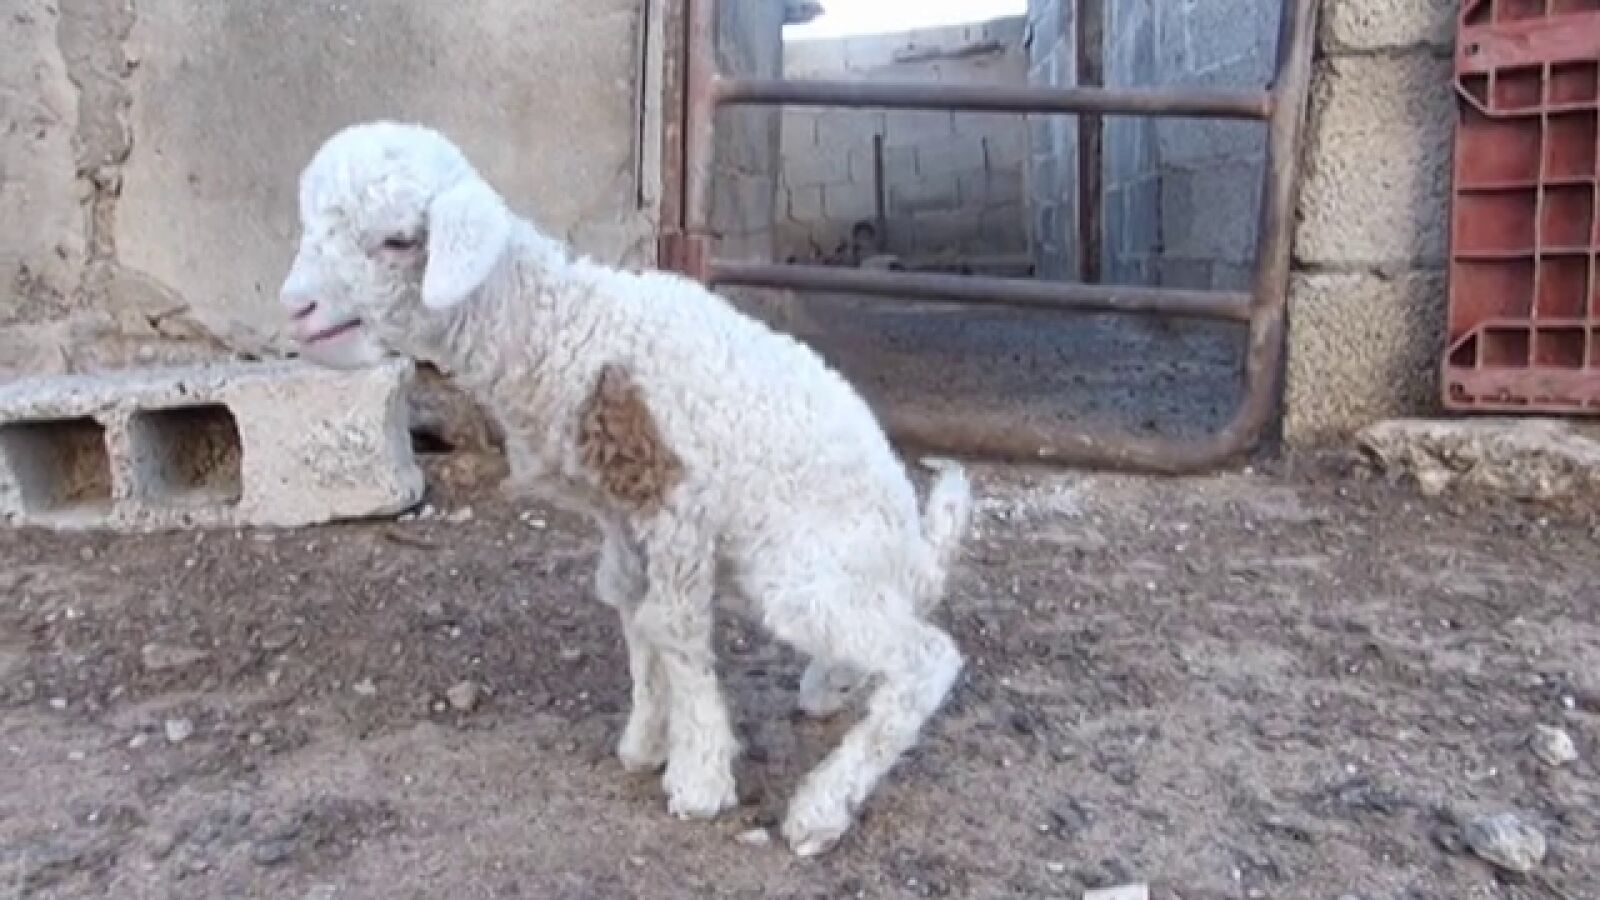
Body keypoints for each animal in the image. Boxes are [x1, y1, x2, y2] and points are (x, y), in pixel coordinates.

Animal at [277, 120, 973, 856]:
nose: (297, 309)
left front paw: (698, 781)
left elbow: (673, 625)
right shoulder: (622, 516)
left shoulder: (678, 503)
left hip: (806, 568)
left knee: (925, 661)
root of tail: (917, 555)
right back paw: (830, 684)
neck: (568, 332)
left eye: (398, 240)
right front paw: (646, 741)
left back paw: (820, 809)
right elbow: (631, 609)